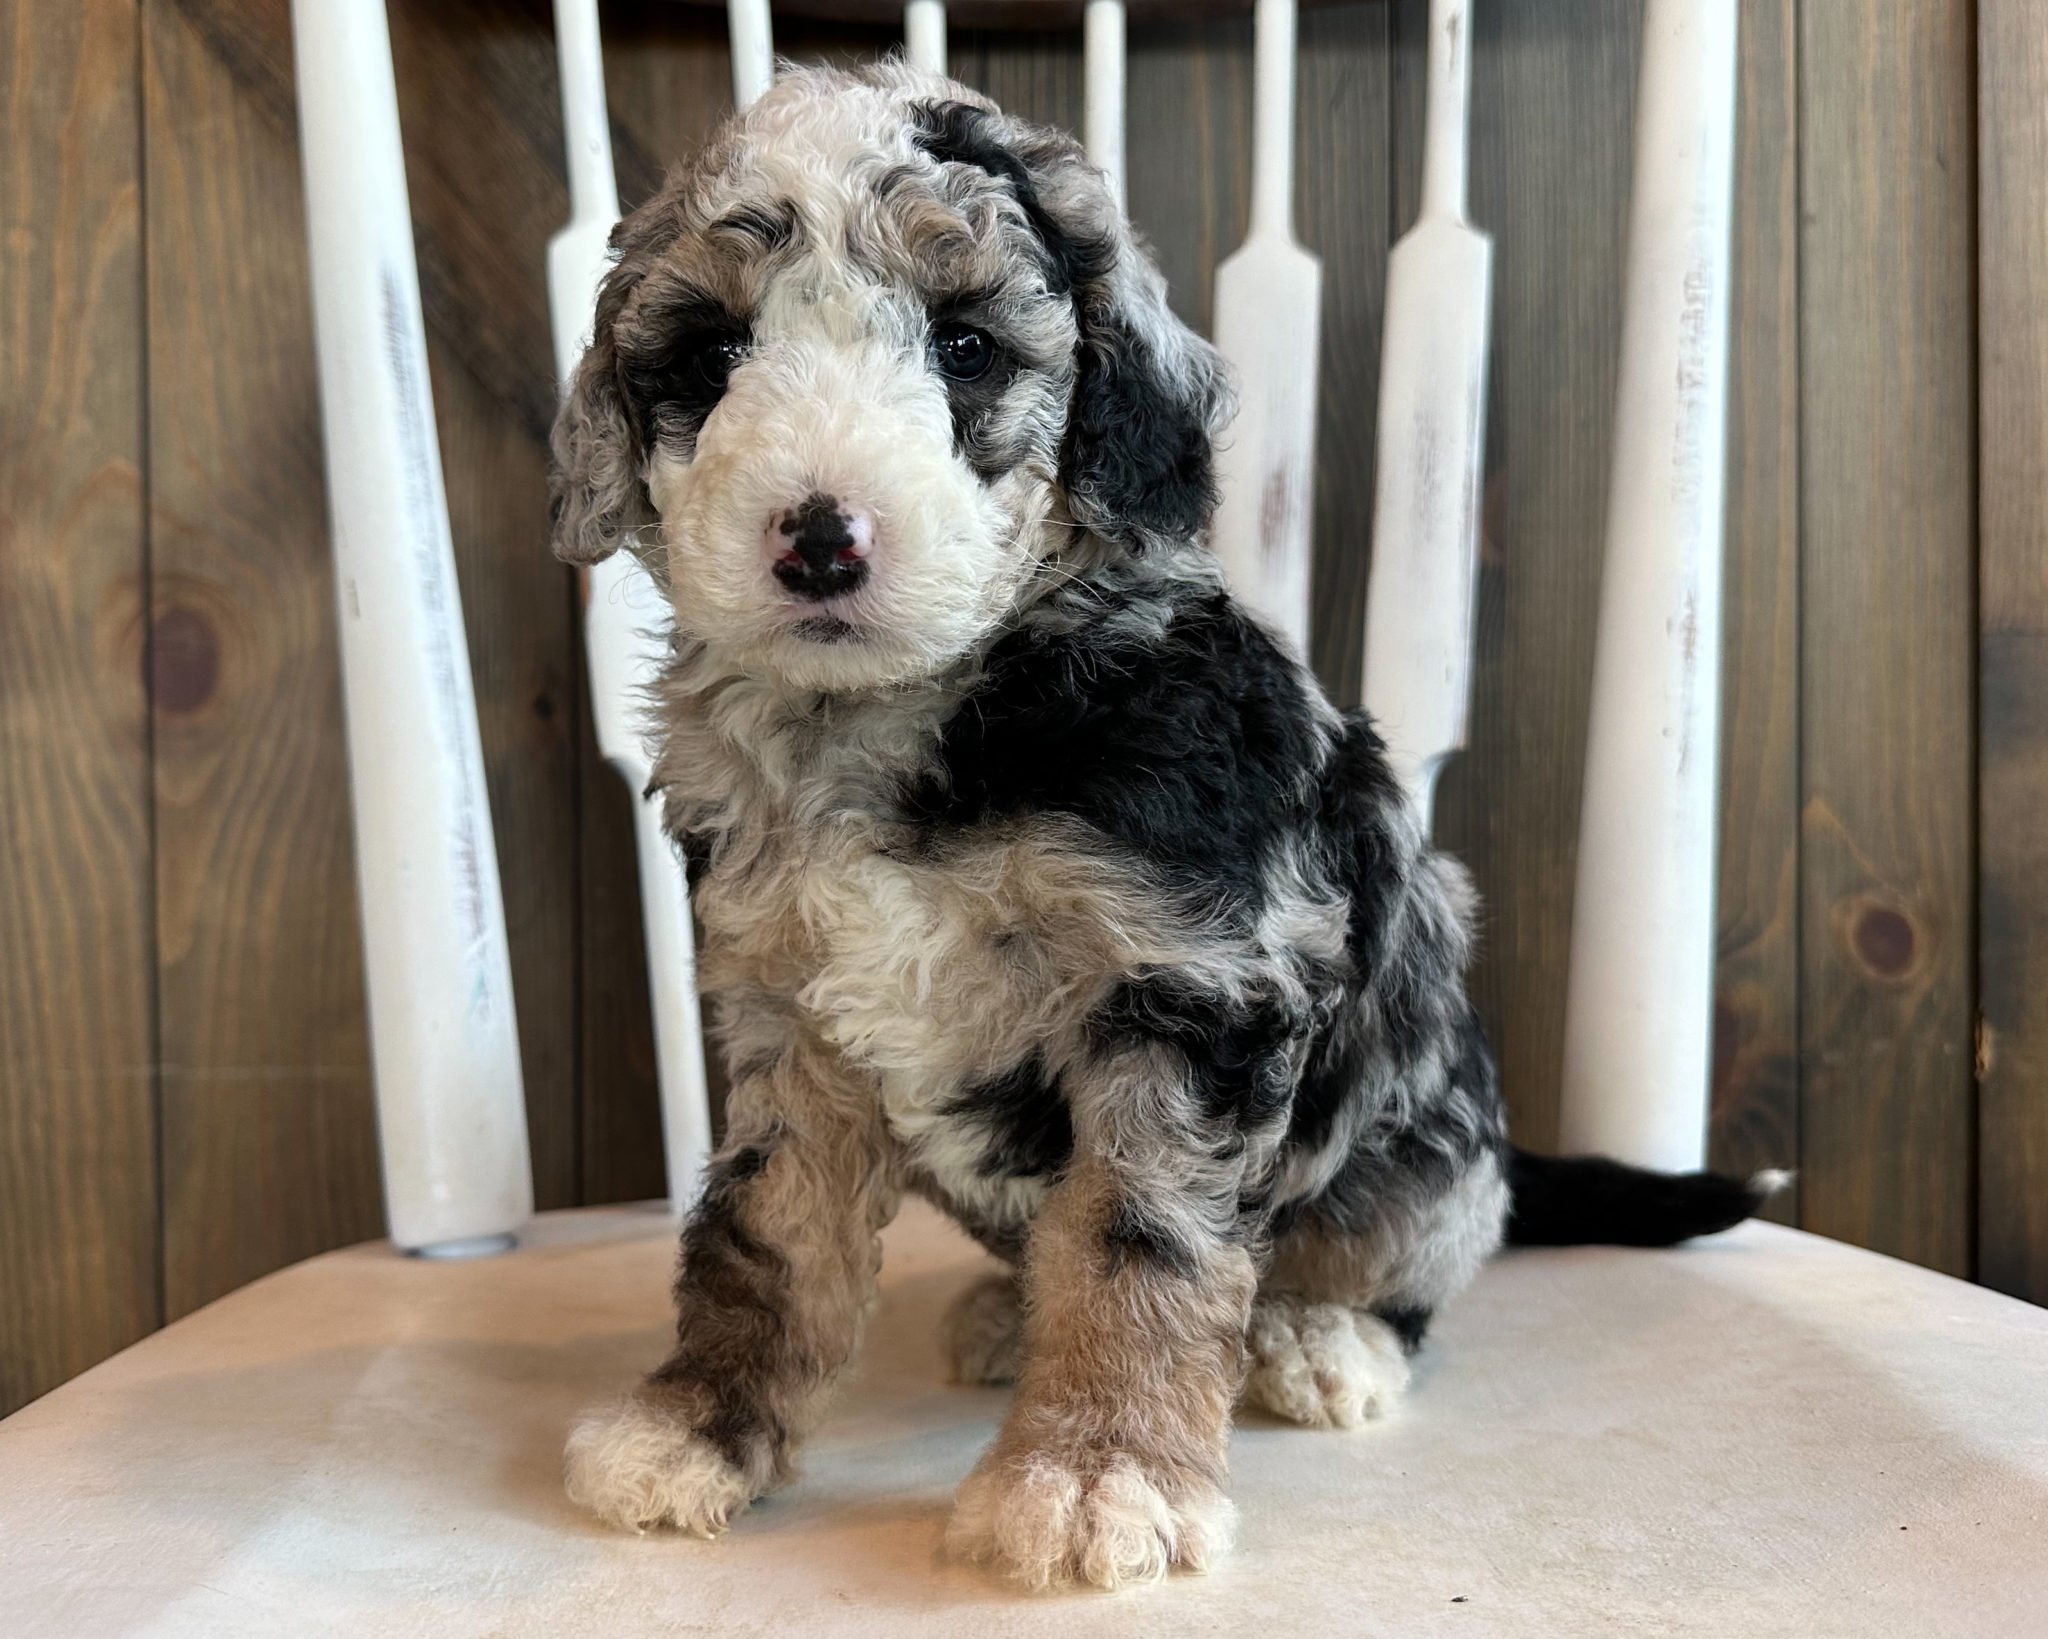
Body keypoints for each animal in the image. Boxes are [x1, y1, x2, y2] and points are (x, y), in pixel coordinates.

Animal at [548, 64, 1777, 1589]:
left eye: (965, 348)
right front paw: (695, 1424)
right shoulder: (788, 1013)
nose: (820, 540)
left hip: (1425, 1135)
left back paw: (1323, 1337)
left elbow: (1140, 1238)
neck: (908, 713)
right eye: (713, 355)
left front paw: (1095, 1470)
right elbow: (760, 1235)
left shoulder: (1194, 983)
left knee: (1401, 1257)